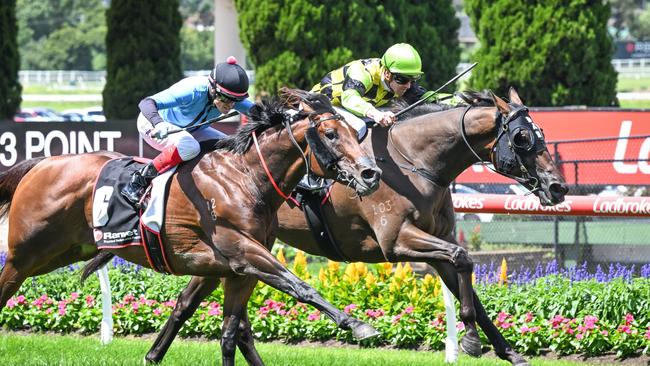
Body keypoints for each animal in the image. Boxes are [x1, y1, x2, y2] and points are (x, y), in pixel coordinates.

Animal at [0, 90, 382, 364]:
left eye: (355, 132)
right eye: (330, 134)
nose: (371, 174)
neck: (246, 178)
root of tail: (41, 164)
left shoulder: (228, 269)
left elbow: (228, 331)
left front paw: (154, 354)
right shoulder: (243, 251)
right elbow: (300, 287)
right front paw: (359, 325)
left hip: (62, 252)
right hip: (27, 253)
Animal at [114, 87, 564, 364]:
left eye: (542, 134)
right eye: (523, 138)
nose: (557, 187)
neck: (413, 161)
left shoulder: (433, 242)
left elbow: (468, 277)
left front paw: (506, 350)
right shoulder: (398, 240)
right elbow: (463, 257)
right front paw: (470, 341)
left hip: (227, 252)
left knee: (190, 303)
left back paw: (154, 354)